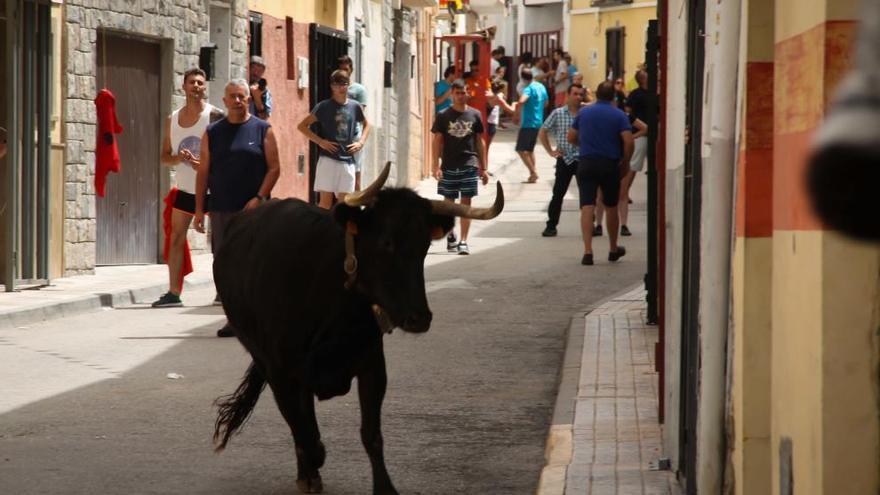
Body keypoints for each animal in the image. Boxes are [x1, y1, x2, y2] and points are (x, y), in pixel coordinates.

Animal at [209, 165, 506, 494]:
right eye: (386, 242)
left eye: (424, 246)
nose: (419, 318)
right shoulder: (279, 371)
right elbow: (302, 429)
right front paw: (312, 465)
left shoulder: (372, 365)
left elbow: (371, 435)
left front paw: (385, 487)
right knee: (300, 422)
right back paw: (308, 472)